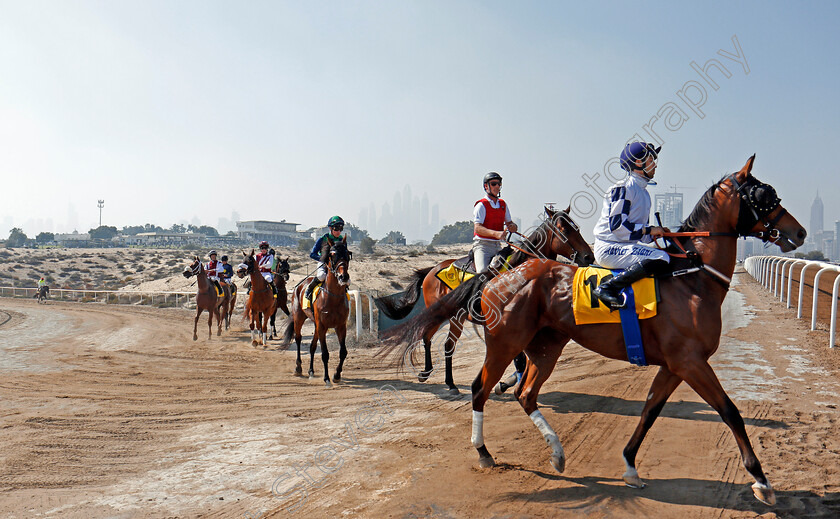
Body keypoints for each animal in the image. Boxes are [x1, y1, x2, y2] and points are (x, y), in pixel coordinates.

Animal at [280, 240, 350, 386]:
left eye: (347, 254)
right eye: (332, 255)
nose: (343, 276)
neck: (333, 297)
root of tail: (298, 286)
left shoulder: (341, 326)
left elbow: (343, 352)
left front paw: (336, 375)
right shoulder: (322, 326)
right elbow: (324, 353)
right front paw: (327, 378)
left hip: (316, 324)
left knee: (312, 346)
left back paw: (311, 371)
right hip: (299, 318)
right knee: (298, 338)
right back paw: (298, 367)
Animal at [374, 207, 592, 394]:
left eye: (578, 228)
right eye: (564, 229)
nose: (588, 256)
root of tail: (431, 270)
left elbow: (521, 358)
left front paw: (507, 383)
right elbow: (519, 358)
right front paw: (508, 383)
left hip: (457, 318)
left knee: (444, 343)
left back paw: (446, 381)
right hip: (446, 314)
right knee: (431, 338)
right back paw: (435, 377)